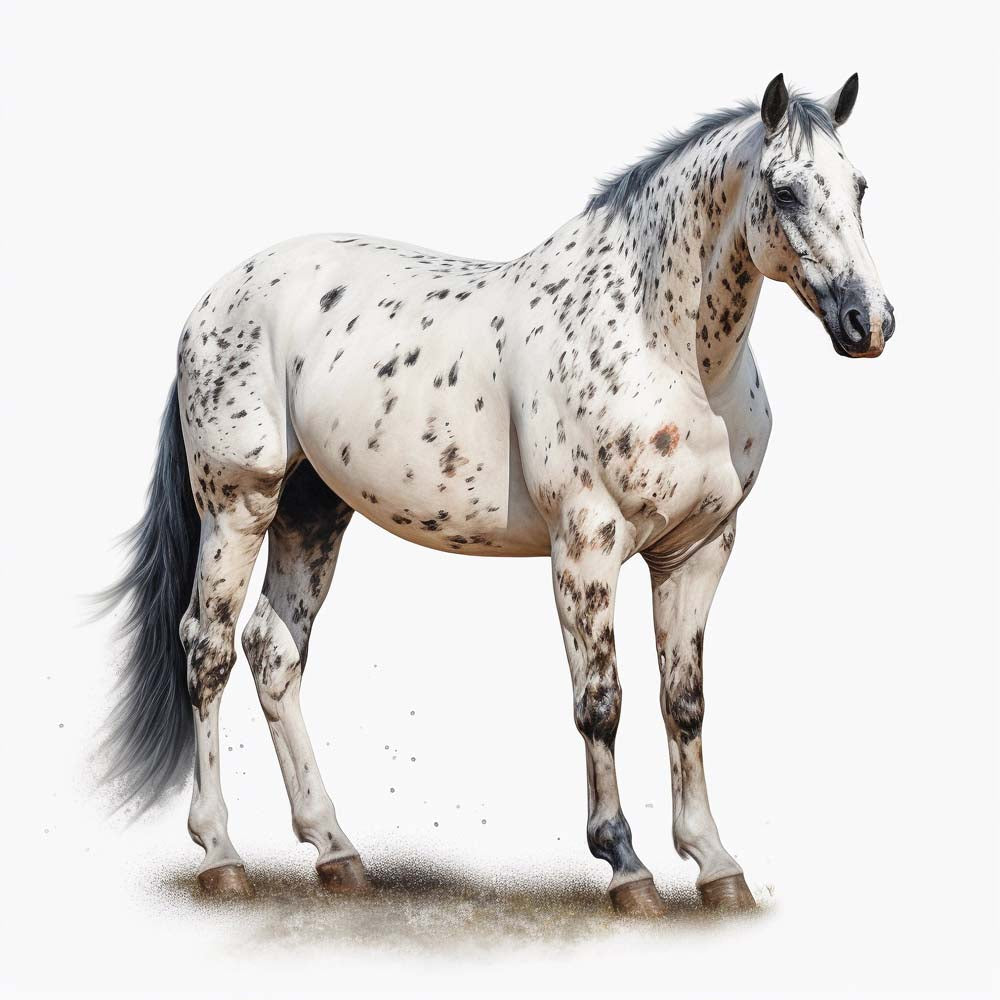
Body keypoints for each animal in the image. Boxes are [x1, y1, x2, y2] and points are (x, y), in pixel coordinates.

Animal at [101, 72, 894, 917]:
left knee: (273, 653)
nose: (869, 322)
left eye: (859, 187)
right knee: (208, 649)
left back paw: (336, 850)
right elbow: (600, 701)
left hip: (312, 514)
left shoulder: (697, 552)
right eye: (786, 191)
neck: (662, 347)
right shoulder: (585, 544)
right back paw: (222, 854)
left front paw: (715, 864)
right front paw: (626, 865)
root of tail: (215, 299)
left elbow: (685, 703)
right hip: (237, 507)